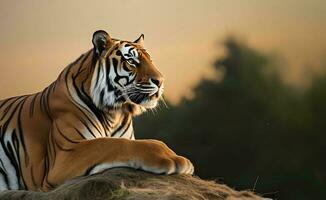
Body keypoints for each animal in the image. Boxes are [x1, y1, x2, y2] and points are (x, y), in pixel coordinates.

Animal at [0, 30, 194, 191]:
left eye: (150, 61)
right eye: (131, 61)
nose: (160, 81)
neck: (115, 113)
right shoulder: (66, 153)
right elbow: (118, 144)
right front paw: (174, 159)